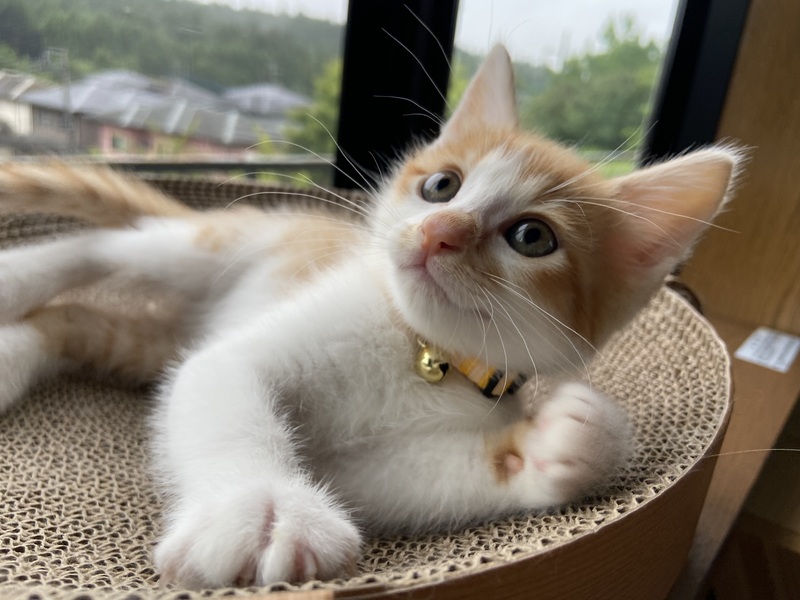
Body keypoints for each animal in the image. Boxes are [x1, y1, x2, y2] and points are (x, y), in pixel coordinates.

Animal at [0, 45, 739, 589]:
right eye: (442, 185)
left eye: (532, 237)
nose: (438, 231)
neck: (421, 353)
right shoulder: (246, 351)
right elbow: (229, 395)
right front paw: (262, 509)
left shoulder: (369, 465)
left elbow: (399, 483)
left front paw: (559, 447)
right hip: (211, 247)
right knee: (103, 247)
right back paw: (18, 280)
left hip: (151, 341)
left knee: (81, 325)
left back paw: (13, 354)